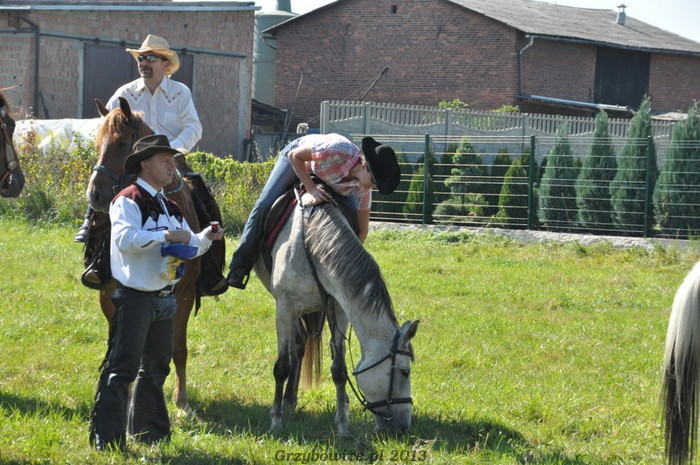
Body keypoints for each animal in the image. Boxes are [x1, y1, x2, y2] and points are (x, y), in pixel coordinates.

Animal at [254, 193, 419, 434]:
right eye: (405, 372)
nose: (404, 426)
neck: (311, 243)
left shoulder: (339, 310)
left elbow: (339, 369)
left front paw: (342, 424)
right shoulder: (284, 308)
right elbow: (282, 366)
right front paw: (275, 421)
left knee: (300, 346)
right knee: (296, 347)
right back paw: (287, 402)